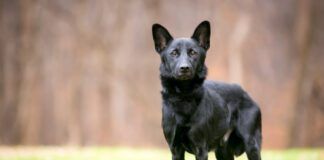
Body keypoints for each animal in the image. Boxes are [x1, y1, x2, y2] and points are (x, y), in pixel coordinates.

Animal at [153, 20, 262, 159]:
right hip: (223, 152)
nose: (185, 68)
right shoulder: (175, 149)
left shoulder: (200, 149)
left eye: (193, 52)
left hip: (251, 145)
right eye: (174, 53)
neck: (184, 96)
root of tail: (247, 94)